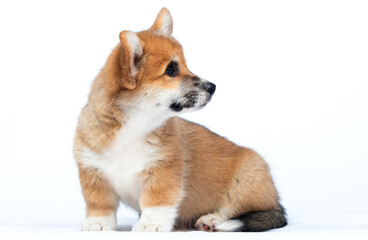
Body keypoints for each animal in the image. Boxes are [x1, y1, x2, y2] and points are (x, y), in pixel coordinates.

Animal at [74, 7, 288, 232]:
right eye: (170, 70)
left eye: (184, 65)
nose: (213, 87)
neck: (135, 125)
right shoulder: (93, 173)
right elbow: (100, 204)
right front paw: (97, 223)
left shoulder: (163, 172)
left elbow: (156, 202)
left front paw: (150, 224)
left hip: (245, 181)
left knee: (234, 209)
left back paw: (212, 219)